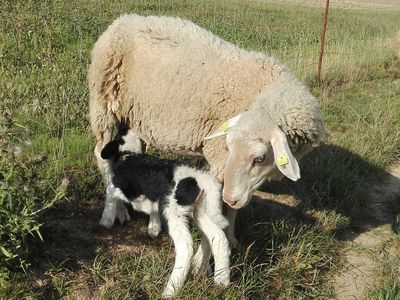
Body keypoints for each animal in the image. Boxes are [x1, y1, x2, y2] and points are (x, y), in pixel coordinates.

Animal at [87, 13, 324, 246]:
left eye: (259, 158)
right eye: (230, 146)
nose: (231, 197)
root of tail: (121, 20)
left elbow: (233, 208)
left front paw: (232, 239)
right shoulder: (220, 158)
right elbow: (221, 208)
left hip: (135, 118)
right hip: (103, 104)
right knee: (102, 155)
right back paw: (118, 210)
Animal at [98, 128, 231, 298]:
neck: (128, 155)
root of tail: (199, 178)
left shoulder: (121, 189)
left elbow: (109, 194)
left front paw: (105, 222)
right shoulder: (151, 198)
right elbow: (152, 209)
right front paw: (153, 228)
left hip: (173, 210)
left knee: (185, 246)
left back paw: (171, 290)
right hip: (202, 209)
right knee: (218, 237)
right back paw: (222, 281)